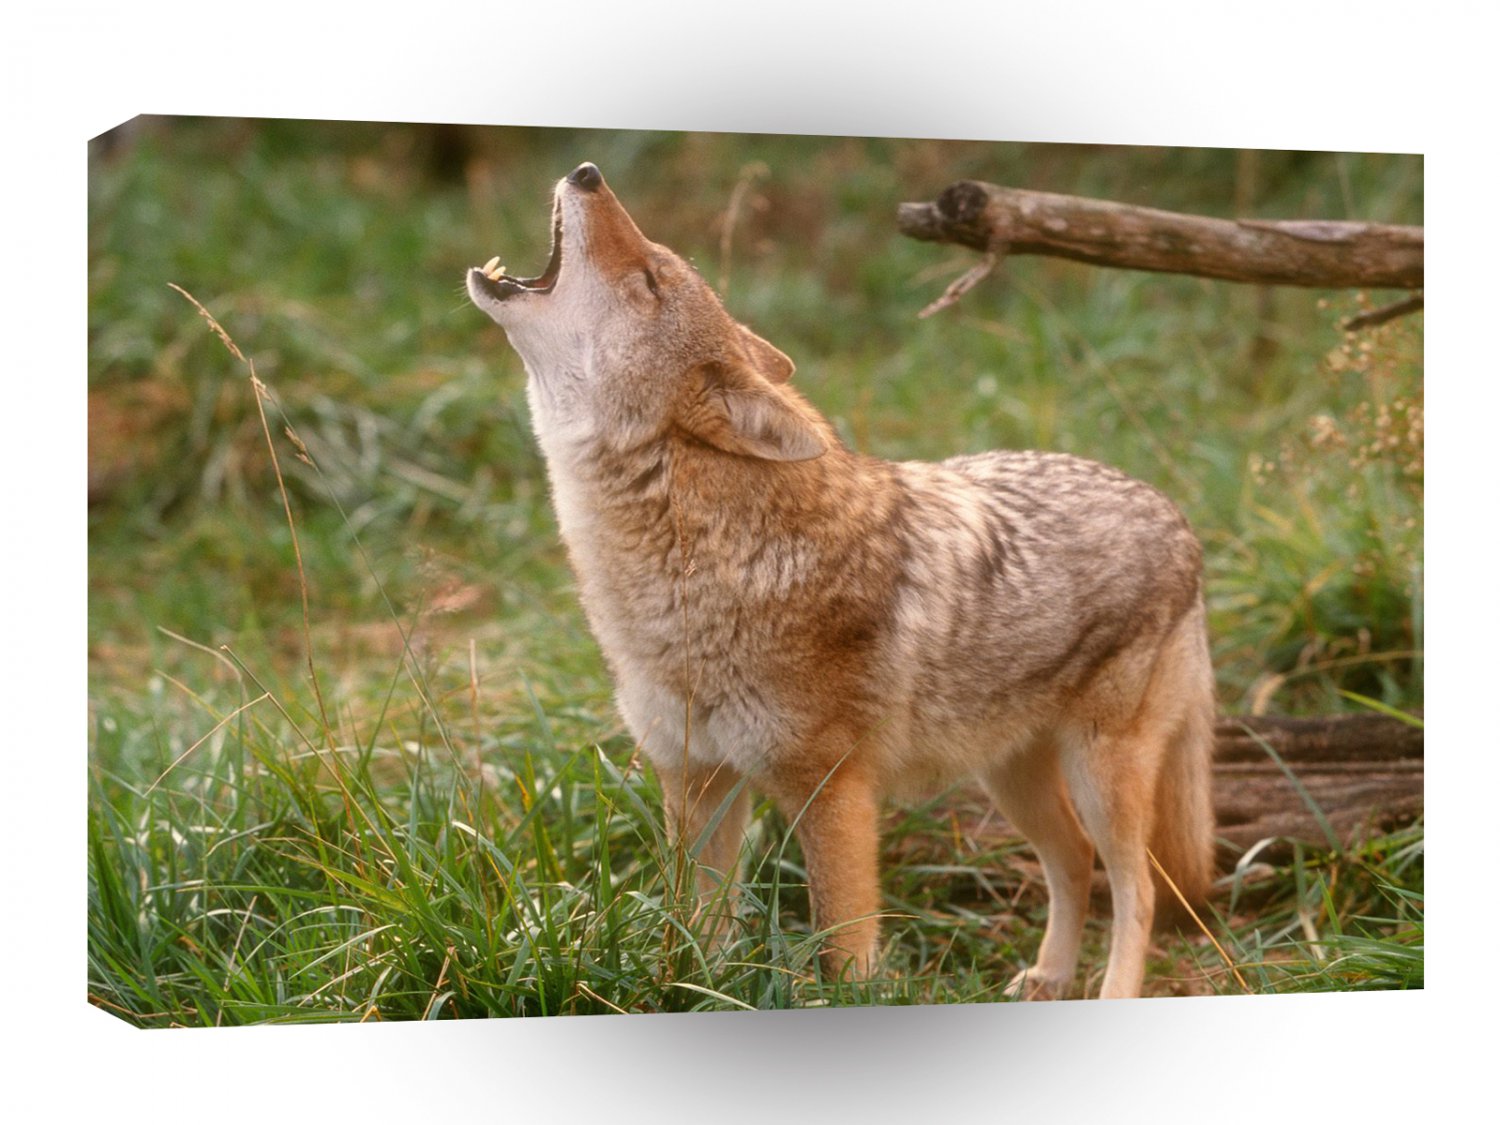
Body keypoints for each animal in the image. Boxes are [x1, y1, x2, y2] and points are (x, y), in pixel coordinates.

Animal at [466, 162, 1216, 1000]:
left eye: (651, 280)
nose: (588, 172)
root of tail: (1177, 515)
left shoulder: (833, 793)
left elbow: (845, 946)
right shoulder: (697, 781)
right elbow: (696, 932)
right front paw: (696, 991)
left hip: (1100, 776)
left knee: (1137, 886)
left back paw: (1109, 989)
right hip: (1011, 779)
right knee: (1074, 861)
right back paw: (1047, 977)